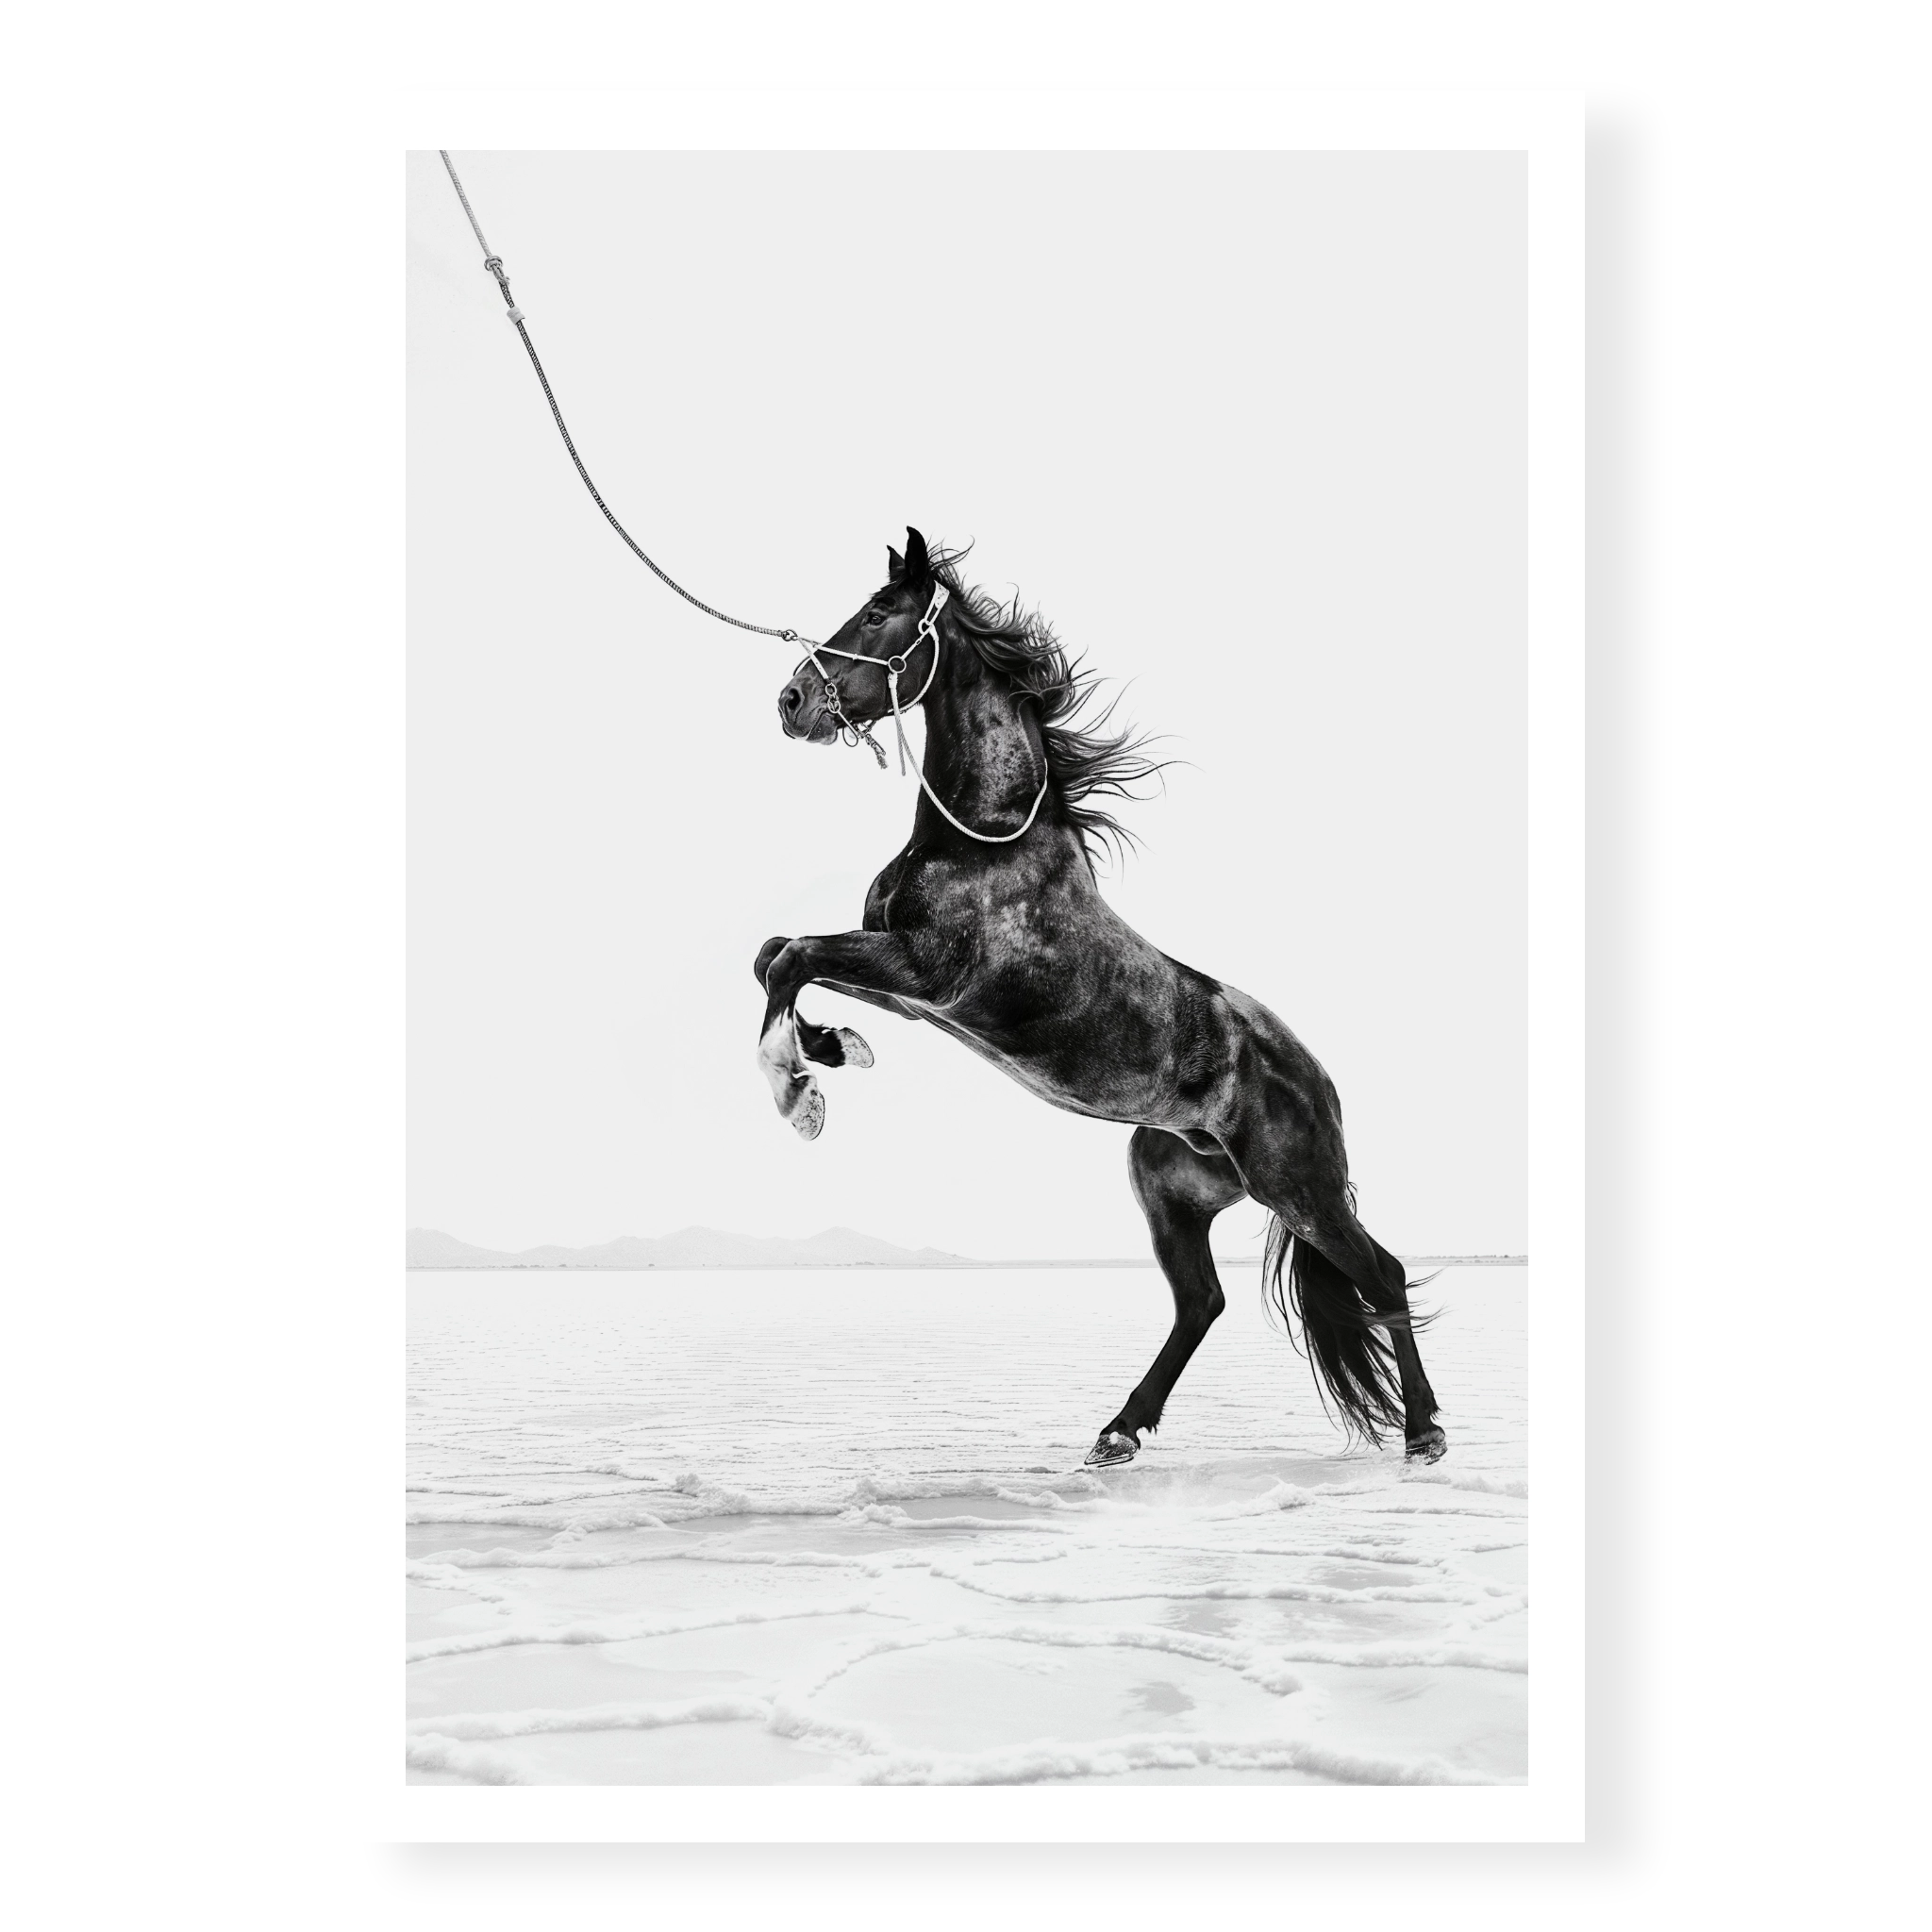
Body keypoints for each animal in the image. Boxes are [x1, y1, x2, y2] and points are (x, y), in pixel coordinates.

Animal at [754, 529, 1446, 1469]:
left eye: (876, 612)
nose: (792, 702)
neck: (984, 841)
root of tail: (1319, 1081)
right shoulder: (906, 989)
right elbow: (777, 958)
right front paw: (832, 1050)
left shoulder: (926, 974)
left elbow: (790, 958)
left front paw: (800, 1092)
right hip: (1172, 1191)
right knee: (1203, 1302)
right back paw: (1118, 1433)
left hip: (1298, 1187)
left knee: (1382, 1273)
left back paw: (1426, 1432)